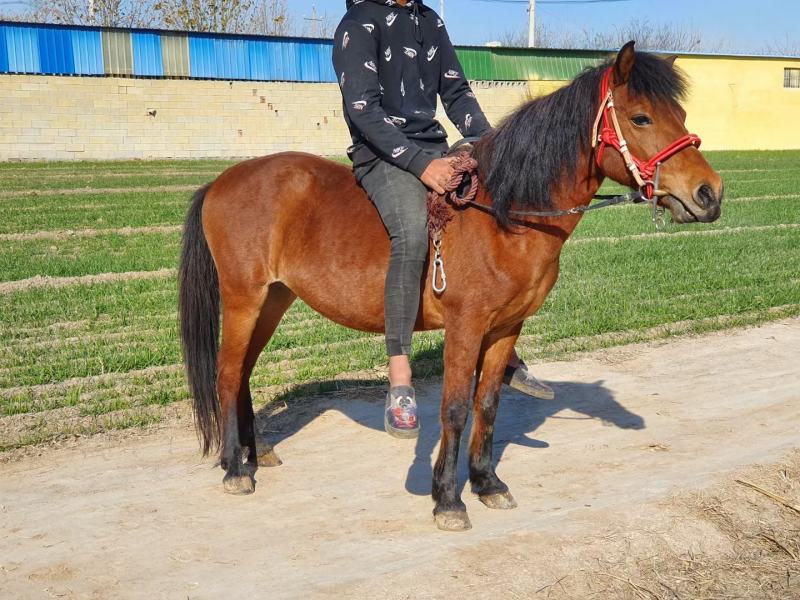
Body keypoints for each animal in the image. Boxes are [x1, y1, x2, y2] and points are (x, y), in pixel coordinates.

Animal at [178, 42, 723, 532]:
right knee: (227, 373)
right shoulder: (465, 326)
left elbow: (488, 404)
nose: (709, 194)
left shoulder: (506, 329)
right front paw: (447, 498)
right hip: (244, 298)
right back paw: (235, 468)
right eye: (641, 118)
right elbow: (456, 409)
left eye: (680, 113)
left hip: (274, 298)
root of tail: (221, 182)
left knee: (243, 372)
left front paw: (486, 482)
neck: (505, 215)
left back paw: (256, 453)